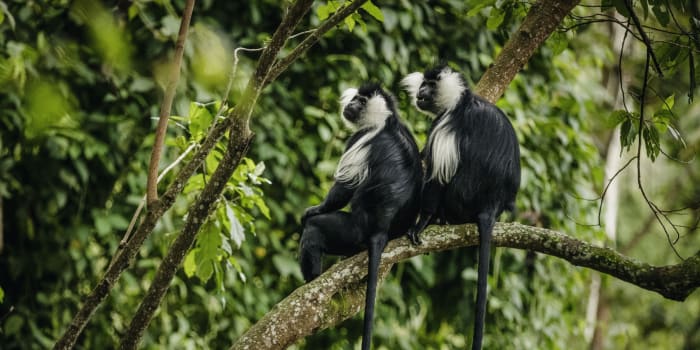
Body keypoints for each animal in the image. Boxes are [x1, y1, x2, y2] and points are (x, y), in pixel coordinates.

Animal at [296, 82, 418, 350]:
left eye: (361, 102)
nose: (351, 104)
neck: (386, 119)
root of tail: (381, 229)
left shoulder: (360, 139)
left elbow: (344, 188)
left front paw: (314, 210)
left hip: (350, 230)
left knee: (315, 230)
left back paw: (312, 279)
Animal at [400, 65, 520, 350]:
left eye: (431, 85)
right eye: (423, 83)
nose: (421, 92)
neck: (460, 101)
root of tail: (490, 205)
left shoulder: (445, 125)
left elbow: (437, 177)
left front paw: (421, 223)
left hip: (459, 199)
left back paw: (437, 220)